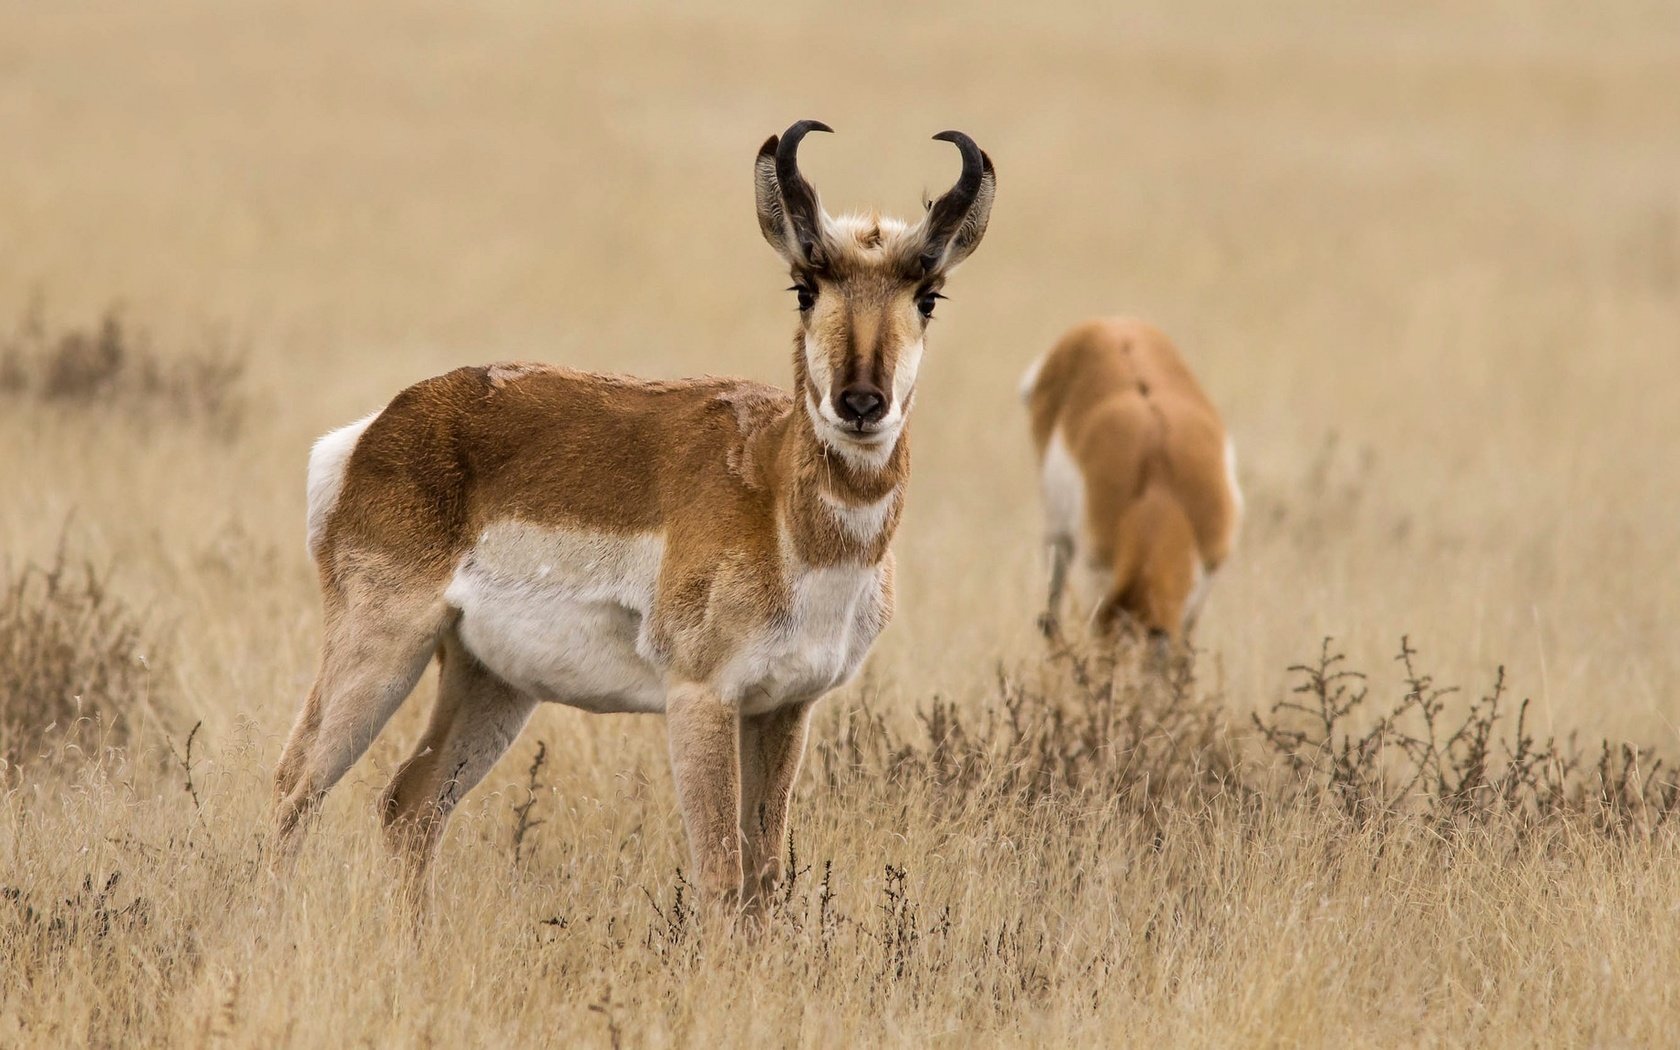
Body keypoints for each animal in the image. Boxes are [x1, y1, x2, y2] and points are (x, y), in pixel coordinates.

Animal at [268, 120, 987, 907]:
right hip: (383, 646)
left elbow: (764, 878)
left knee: (411, 804)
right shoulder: (701, 699)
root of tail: (381, 426)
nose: (861, 403)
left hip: (490, 680)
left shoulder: (783, 708)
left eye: (929, 297)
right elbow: (721, 876)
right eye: (805, 286)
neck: (773, 493)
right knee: (295, 786)